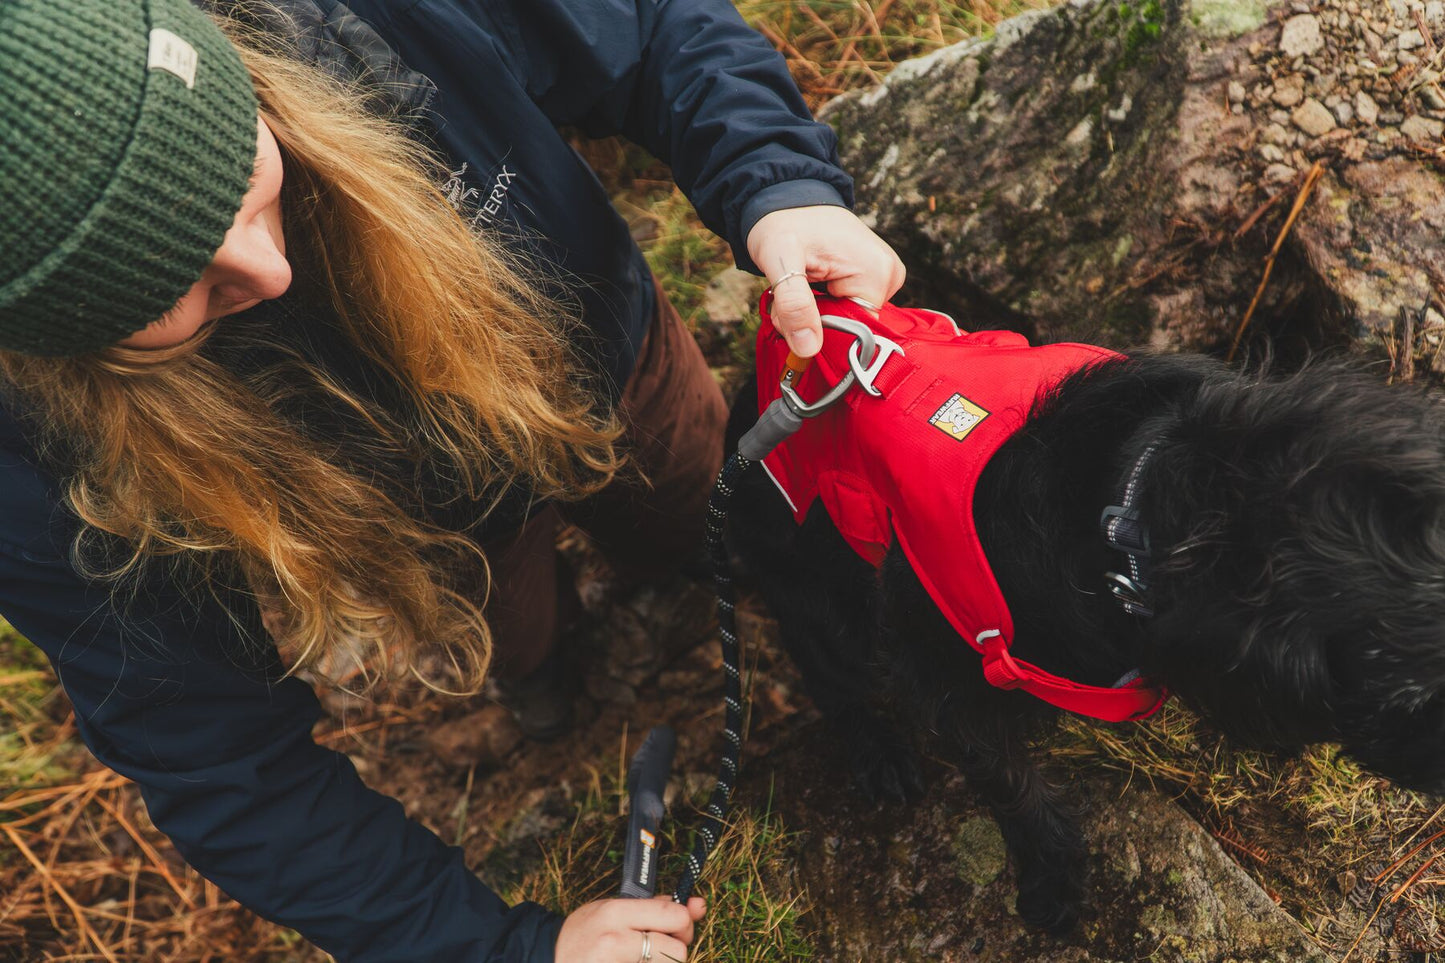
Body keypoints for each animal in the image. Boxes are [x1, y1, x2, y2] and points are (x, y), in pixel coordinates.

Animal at [728, 342, 1445, 931]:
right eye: (1401, 697)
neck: (1125, 504)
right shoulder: (943, 668)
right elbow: (1011, 783)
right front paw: (1052, 881)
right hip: (819, 595)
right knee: (829, 676)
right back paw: (878, 753)